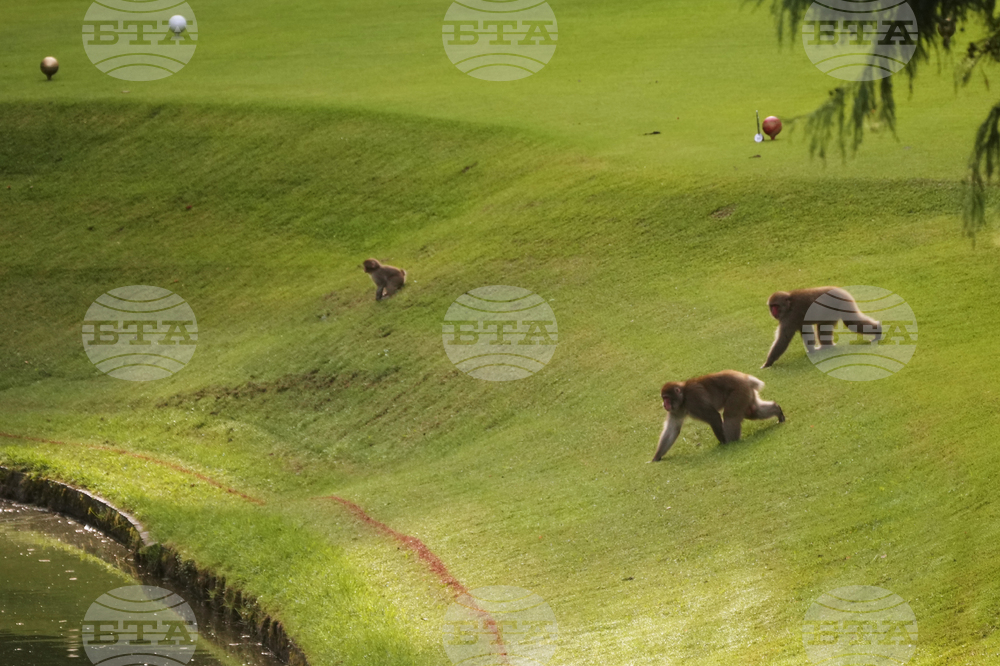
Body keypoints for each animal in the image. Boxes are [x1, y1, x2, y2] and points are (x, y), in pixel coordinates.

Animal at [651, 370, 784, 462]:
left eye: (666, 398)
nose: (664, 404)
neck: (683, 398)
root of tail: (745, 377)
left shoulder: (694, 400)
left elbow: (713, 416)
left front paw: (724, 443)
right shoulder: (676, 410)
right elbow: (672, 430)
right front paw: (656, 458)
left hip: (738, 392)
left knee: (731, 416)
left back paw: (731, 442)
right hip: (746, 393)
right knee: (753, 411)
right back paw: (777, 410)